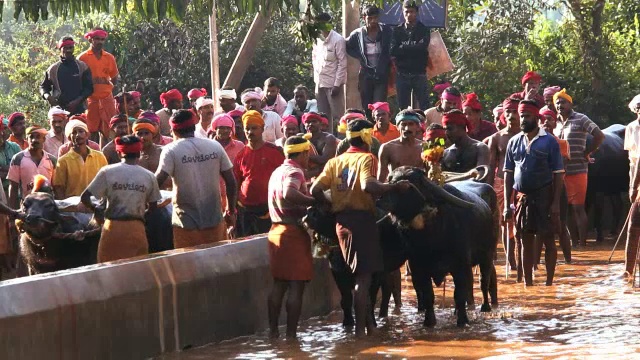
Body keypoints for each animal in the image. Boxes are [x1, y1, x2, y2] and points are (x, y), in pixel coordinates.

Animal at [378, 167, 498, 328]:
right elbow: (428, 295)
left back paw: (485, 307)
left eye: (410, 184)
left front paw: (462, 320)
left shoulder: (460, 266)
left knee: (484, 281)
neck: (432, 237)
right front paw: (429, 321)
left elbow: (459, 294)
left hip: (487, 256)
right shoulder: (419, 268)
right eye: (390, 181)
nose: (382, 200)